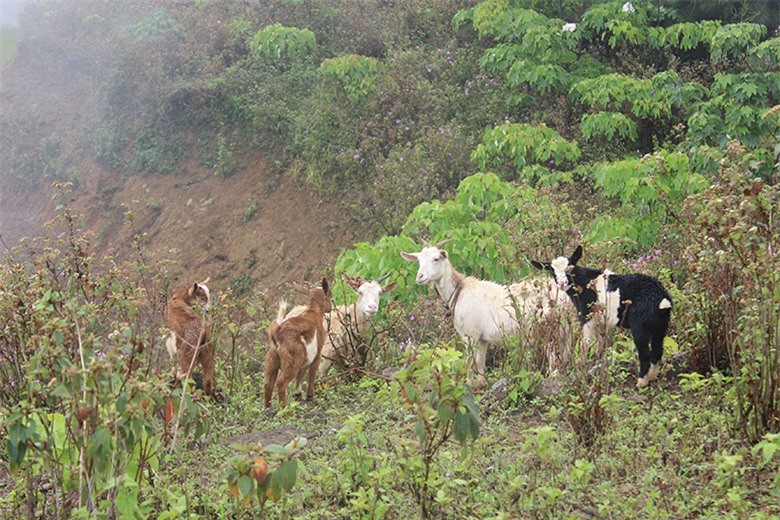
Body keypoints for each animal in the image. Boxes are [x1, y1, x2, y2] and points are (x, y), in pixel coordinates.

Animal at [266, 278, 332, 408]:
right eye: (330, 296)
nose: (330, 308)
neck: (313, 311)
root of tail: (277, 334)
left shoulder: (305, 357)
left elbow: (301, 374)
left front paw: (297, 394)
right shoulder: (317, 352)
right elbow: (311, 373)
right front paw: (310, 396)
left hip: (272, 360)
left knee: (267, 385)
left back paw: (267, 408)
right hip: (292, 361)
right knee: (281, 383)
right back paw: (285, 408)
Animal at [402, 238, 572, 388]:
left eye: (436, 258)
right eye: (418, 260)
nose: (420, 277)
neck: (458, 291)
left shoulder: (470, 335)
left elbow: (469, 363)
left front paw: (469, 385)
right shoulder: (482, 339)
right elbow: (480, 363)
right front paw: (481, 383)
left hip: (550, 326)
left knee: (554, 357)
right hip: (564, 329)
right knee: (565, 355)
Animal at [532, 246, 672, 388]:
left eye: (570, 267)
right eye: (552, 270)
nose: (561, 283)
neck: (584, 282)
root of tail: (662, 300)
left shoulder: (588, 315)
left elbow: (585, 342)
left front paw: (579, 364)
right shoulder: (601, 321)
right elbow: (601, 341)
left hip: (640, 325)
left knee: (645, 353)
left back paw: (641, 382)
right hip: (660, 325)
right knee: (657, 351)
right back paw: (652, 376)